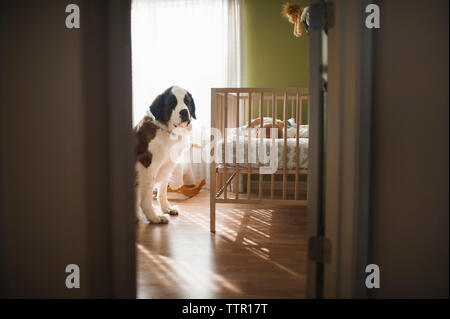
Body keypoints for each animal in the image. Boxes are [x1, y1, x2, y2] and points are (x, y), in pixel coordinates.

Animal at [134, 86, 196, 224]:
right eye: (172, 103)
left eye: (187, 101)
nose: (184, 112)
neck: (168, 131)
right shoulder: (148, 166)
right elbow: (147, 195)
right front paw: (153, 217)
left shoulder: (168, 165)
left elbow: (162, 190)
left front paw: (166, 209)